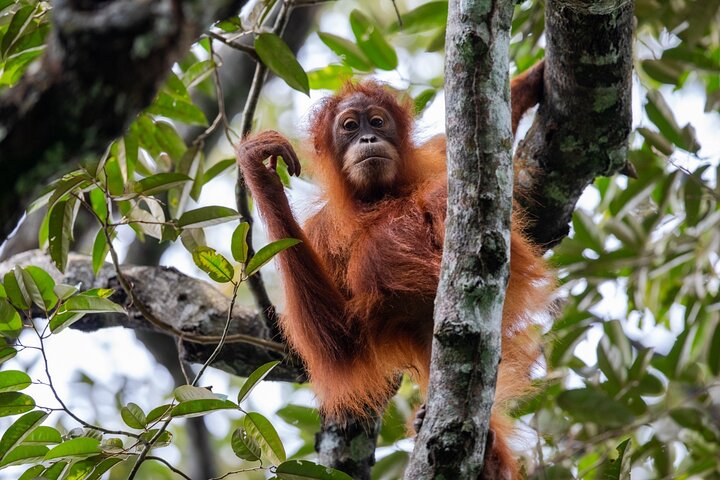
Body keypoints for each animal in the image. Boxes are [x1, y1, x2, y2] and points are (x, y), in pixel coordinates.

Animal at [235, 61, 552, 478]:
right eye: (349, 126)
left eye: (377, 121)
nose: (368, 138)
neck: (379, 195)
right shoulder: (319, 232)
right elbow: (342, 341)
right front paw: (262, 174)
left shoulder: (439, 154)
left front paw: (531, 79)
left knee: (435, 197)